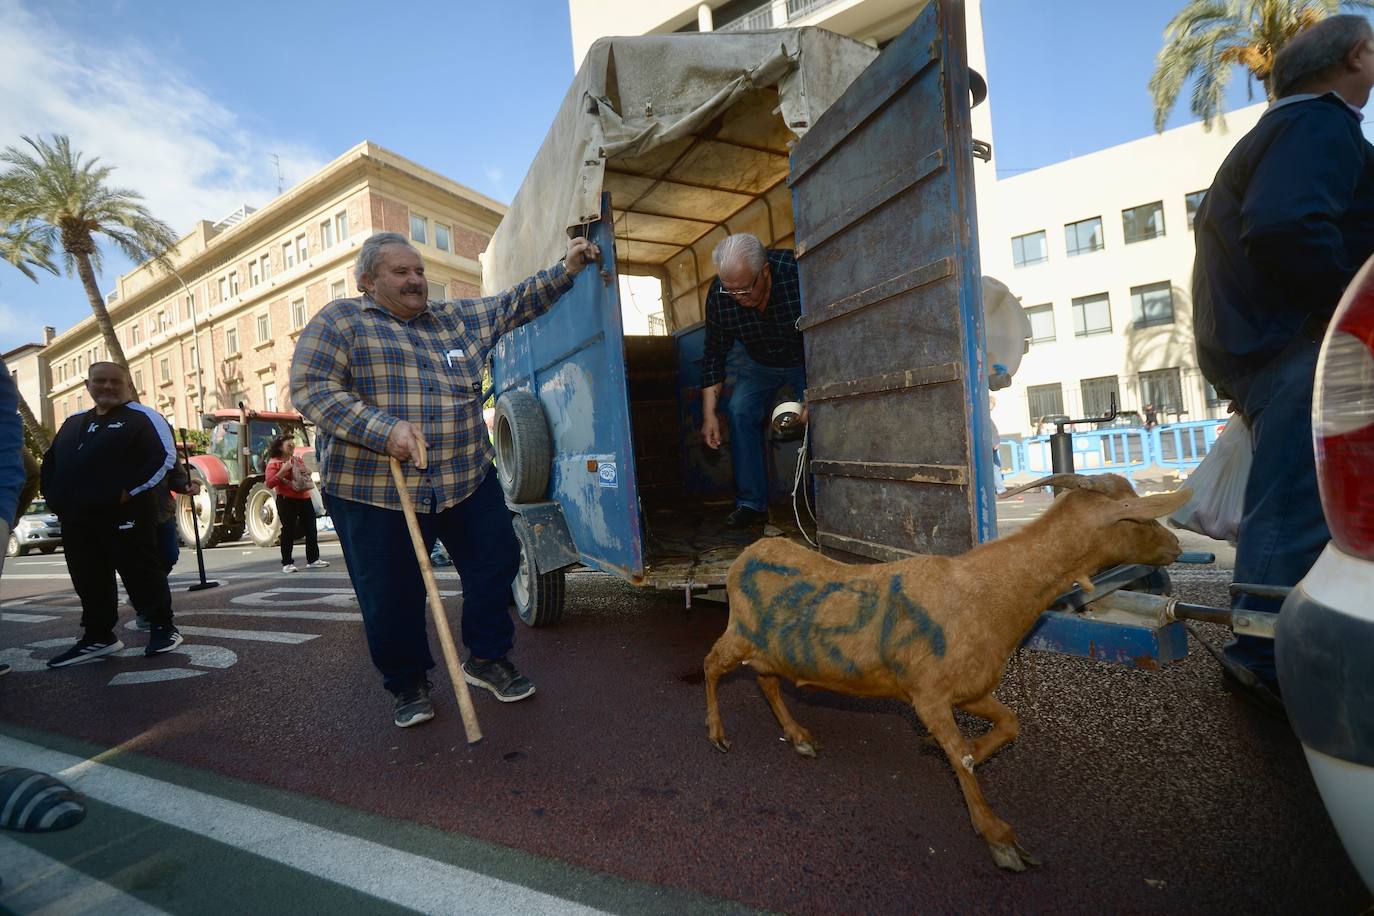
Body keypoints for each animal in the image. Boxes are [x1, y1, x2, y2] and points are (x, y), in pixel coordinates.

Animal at [703, 477, 1187, 873]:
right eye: (1138, 516)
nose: (1177, 546)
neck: (987, 591)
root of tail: (749, 553)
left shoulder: (969, 689)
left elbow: (1008, 725)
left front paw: (949, 746)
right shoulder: (929, 695)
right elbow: (962, 759)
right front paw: (999, 838)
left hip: (771, 652)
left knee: (766, 681)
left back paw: (798, 736)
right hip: (739, 633)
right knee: (710, 665)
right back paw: (717, 733)